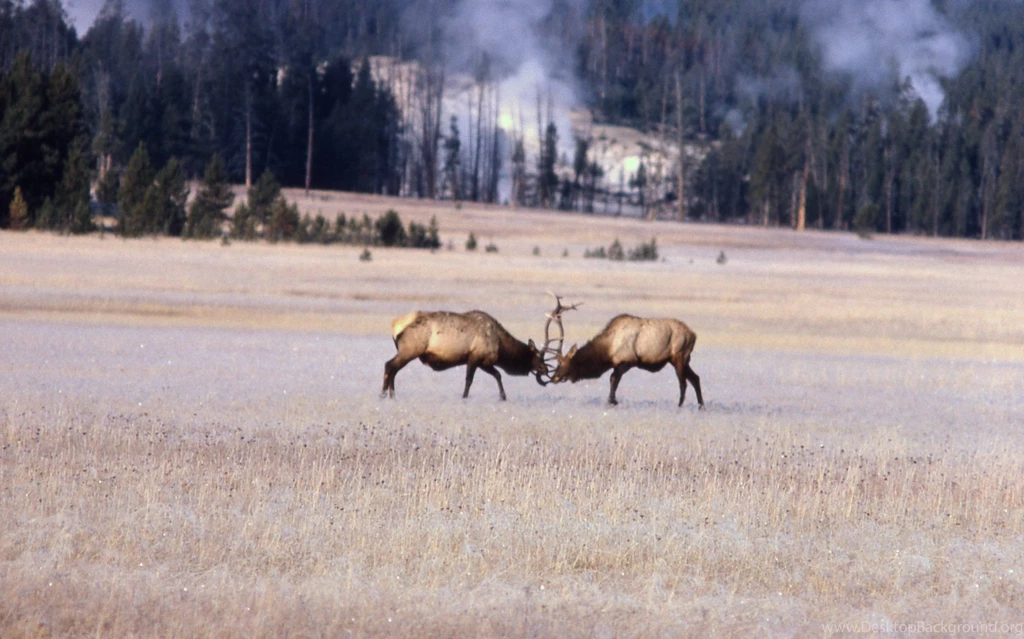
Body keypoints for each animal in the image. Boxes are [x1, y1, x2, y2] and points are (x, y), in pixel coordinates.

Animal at [381, 310, 548, 401]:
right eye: (537, 356)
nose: (545, 369)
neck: (502, 347)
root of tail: (395, 326)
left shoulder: (483, 362)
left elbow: (498, 375)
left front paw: (503, 397)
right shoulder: (475, 357)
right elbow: (469, 380)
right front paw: (464, 397)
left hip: (407, 351)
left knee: (393, 369)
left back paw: (391, 395)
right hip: (410, 350)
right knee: (389, 365)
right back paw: (383, 394)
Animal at [545, 306, 705, 409]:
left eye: (563, 362)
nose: (554, 377)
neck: (607, 350)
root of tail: (693, 335)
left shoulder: (627, 361)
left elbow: (613, 379)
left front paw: (612, 401)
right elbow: (613, 379)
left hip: (679, 357)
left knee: (683, 382)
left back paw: (680, 405)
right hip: (682, 360)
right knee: (695, 378)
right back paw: (701, 405)